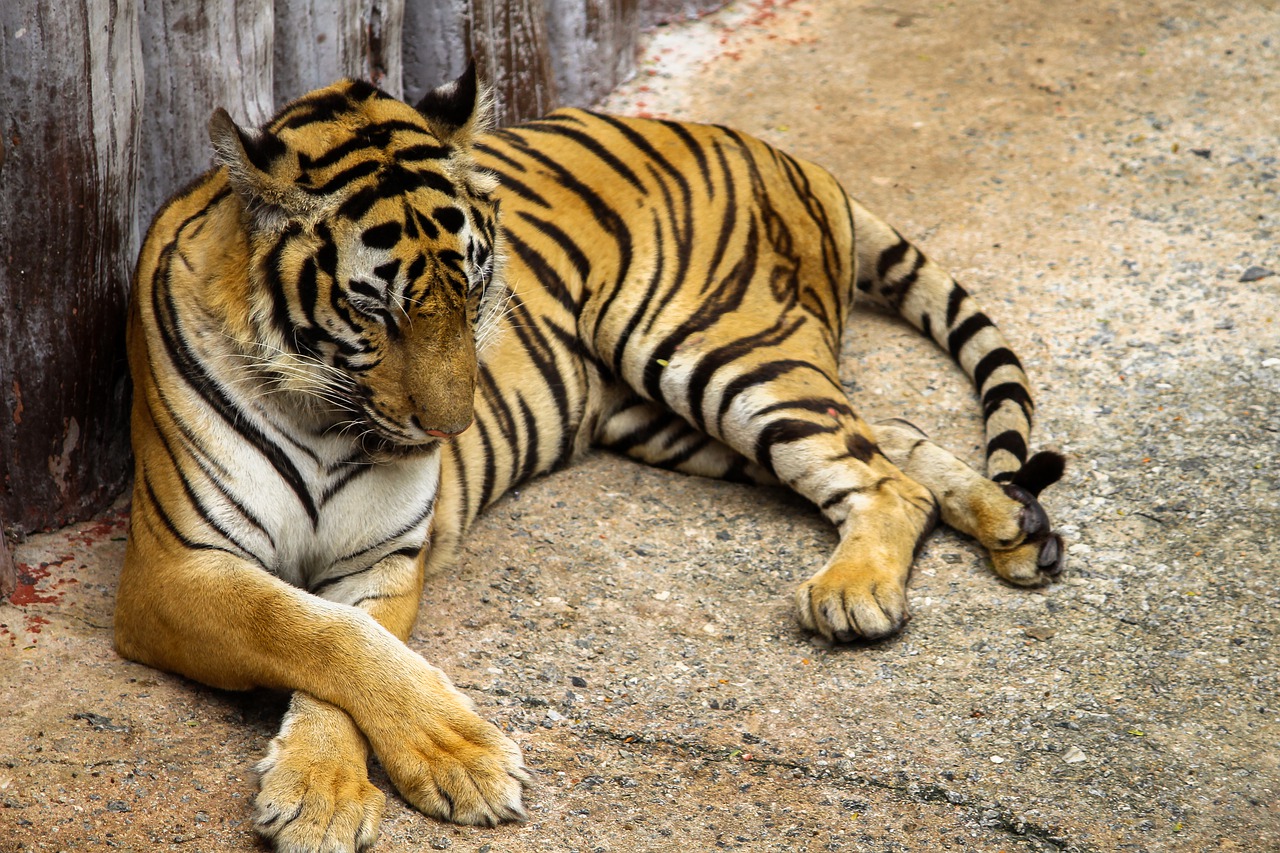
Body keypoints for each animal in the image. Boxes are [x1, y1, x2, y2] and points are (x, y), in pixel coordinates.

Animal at [117, 66, 1059, 850]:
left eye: (475, 289)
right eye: (376, 311)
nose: (450, 429)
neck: (324, 413)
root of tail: (785, 151)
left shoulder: (387, 558)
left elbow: (348, 644)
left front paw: (395, 776)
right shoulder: (174, 568)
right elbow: (313, 632)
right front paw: (344, 791)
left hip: (715, 350)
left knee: (883, 475)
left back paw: (858, 591)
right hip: (673, 414)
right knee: (892, 437)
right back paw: (1016, 527)